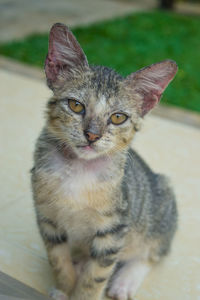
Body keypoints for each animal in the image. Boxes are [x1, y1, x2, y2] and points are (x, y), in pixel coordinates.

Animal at [31, 23, 178, 300]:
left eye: (118, 117)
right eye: (76, 105)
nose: (92, 135)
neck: (78, 170)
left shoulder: (114, 228)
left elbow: (95, 277)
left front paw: (82, 293)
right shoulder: (47, 218)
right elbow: (58, 261)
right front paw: (63, 288)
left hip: (162, 208)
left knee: (152, 252)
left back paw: (125, 280)